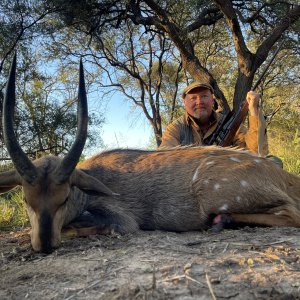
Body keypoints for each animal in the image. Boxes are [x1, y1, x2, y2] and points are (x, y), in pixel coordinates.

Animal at [1, 55, 300, 252]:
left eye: (63, 198)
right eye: (26, 199)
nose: (44, 245)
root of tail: (284, 176)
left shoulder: (122, 220)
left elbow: (76, 227)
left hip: (217, 195)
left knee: (291, 214)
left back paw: (220, 221)